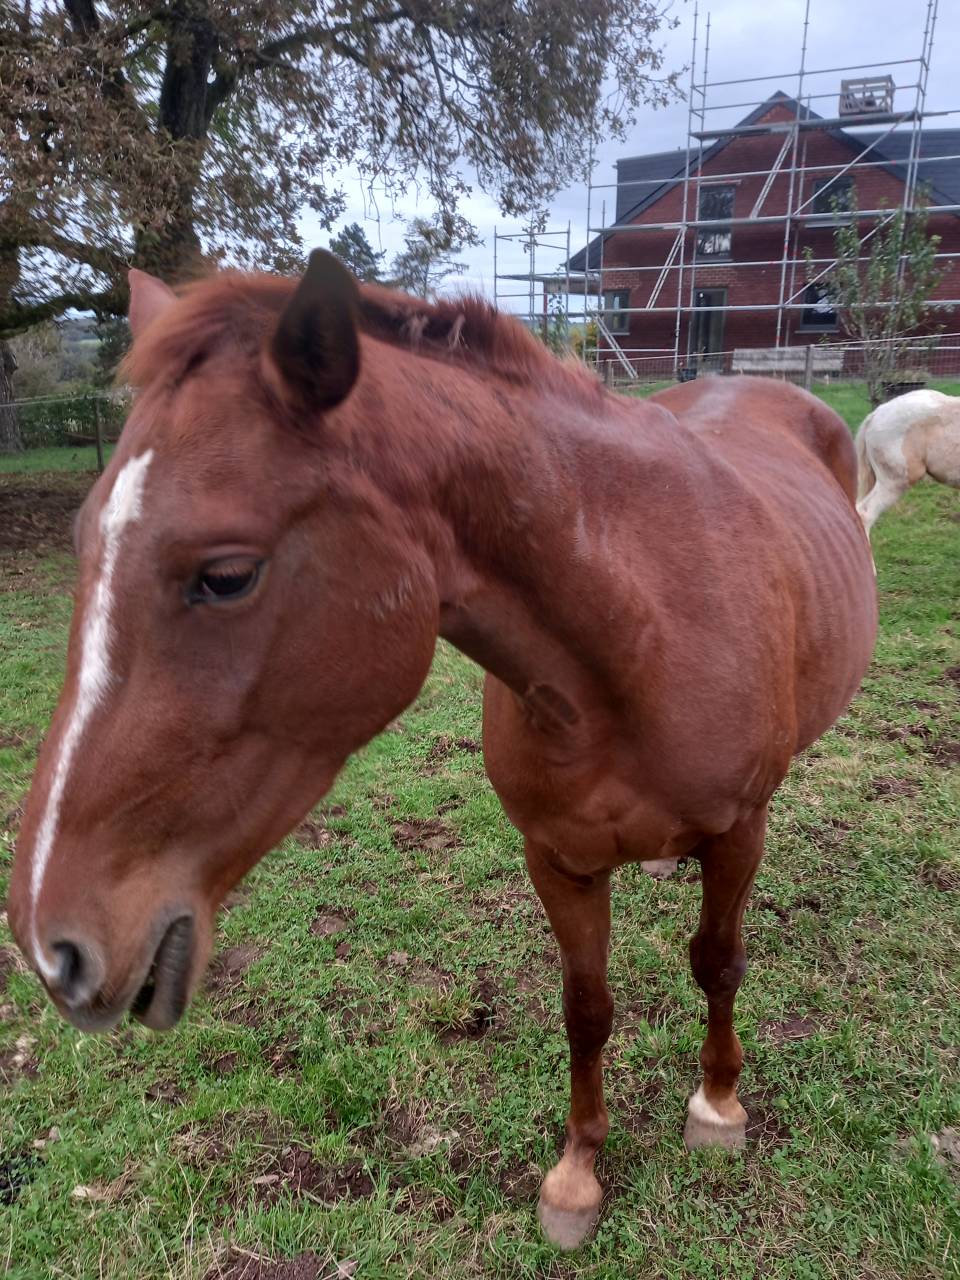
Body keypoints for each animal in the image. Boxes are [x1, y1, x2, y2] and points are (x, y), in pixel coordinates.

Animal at [8, 252, 877, 1251]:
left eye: (225, 575)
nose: (51, 948)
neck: (645, 629)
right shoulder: (559, 859)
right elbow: (587, 1009)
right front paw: (576, 1175)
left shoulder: (738, 832)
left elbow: (718, 962)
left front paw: (718, 1107)